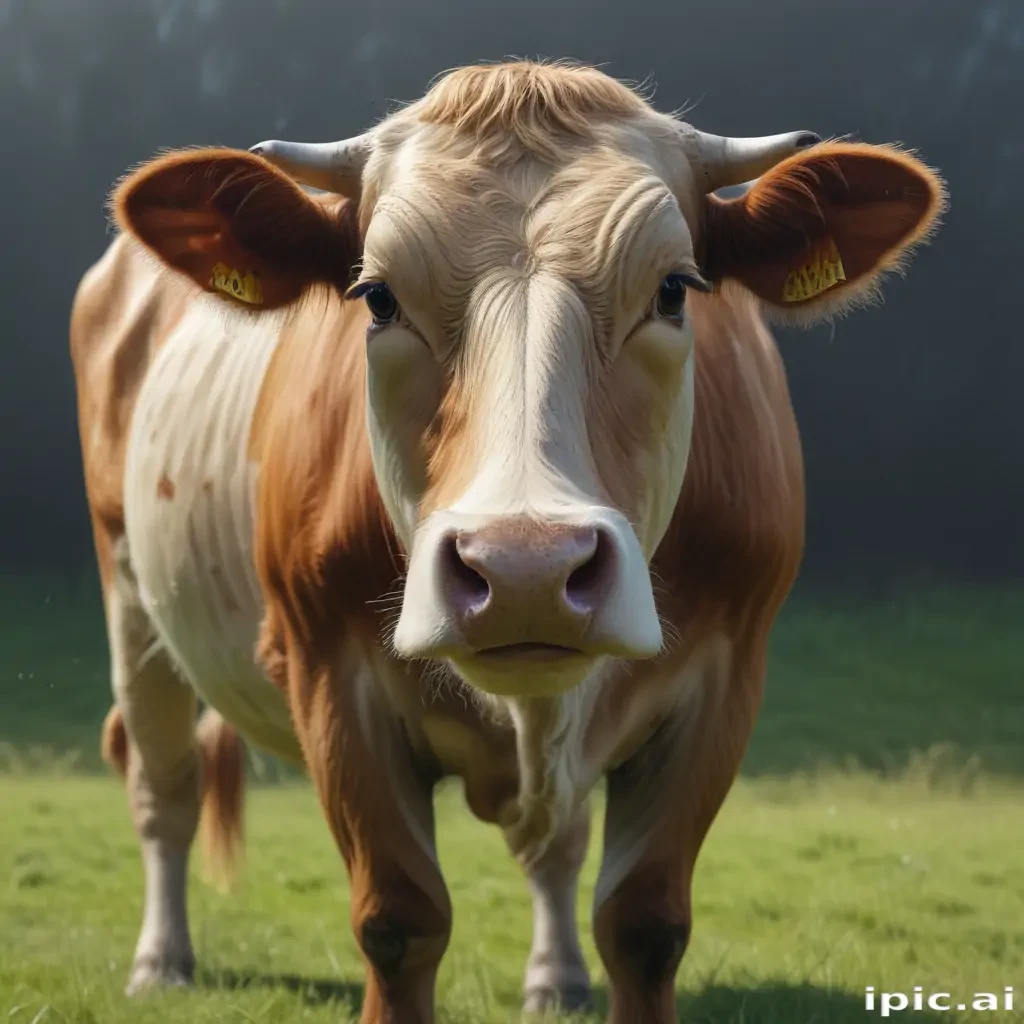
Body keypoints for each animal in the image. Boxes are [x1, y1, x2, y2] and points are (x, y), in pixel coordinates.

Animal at [70, 60, 945, 1024]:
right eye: (377, 298)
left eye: (674, 290)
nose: (525, 568)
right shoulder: (330, 670)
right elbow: (398, 918)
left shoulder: (727, 675)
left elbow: (644, 923)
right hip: (128, 591)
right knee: (162, 780)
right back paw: (161, 960)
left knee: (553, 843)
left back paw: (555, 977)